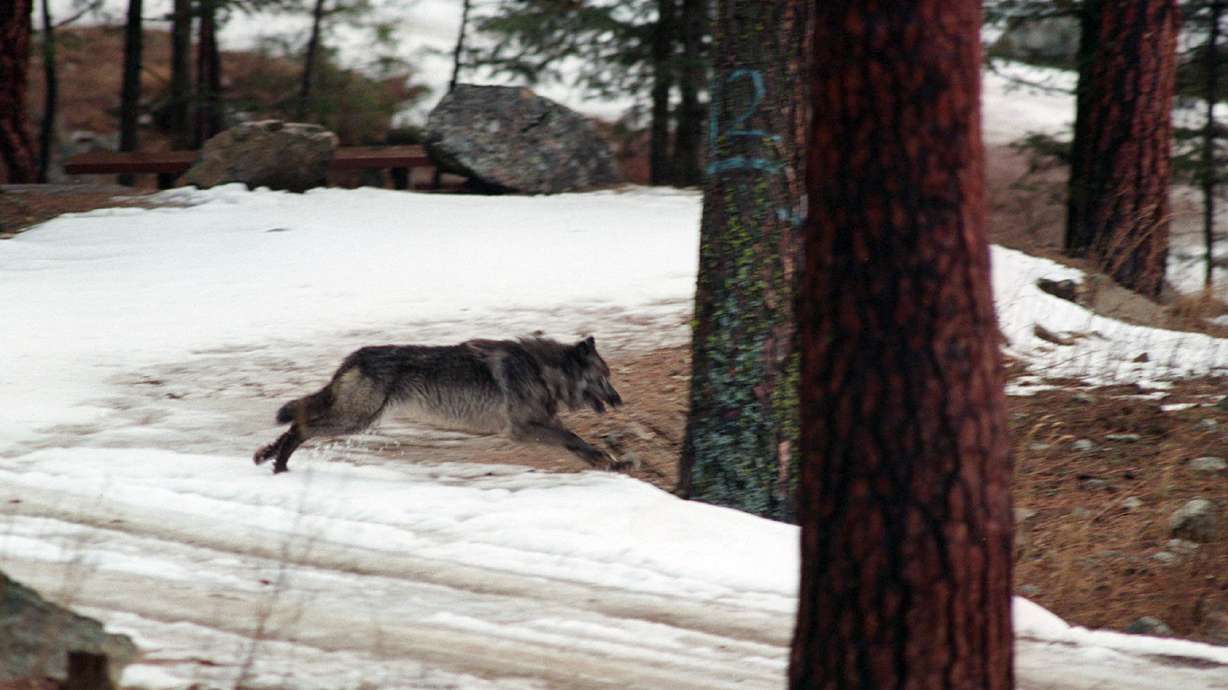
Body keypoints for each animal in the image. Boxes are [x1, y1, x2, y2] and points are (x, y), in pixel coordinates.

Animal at [253, 336, 624, 474]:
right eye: (604, 377)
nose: (620, 401)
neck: (541, 369)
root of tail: (353, 357)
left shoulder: (542, 425)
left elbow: (577, 444)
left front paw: (610, 462)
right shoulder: (524, 429)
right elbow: (573, 438)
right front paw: (608, 459)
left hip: (353, 417)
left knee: (298, 420)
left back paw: (266, 455)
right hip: (354, 420)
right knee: (301, 426)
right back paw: (280, 465)